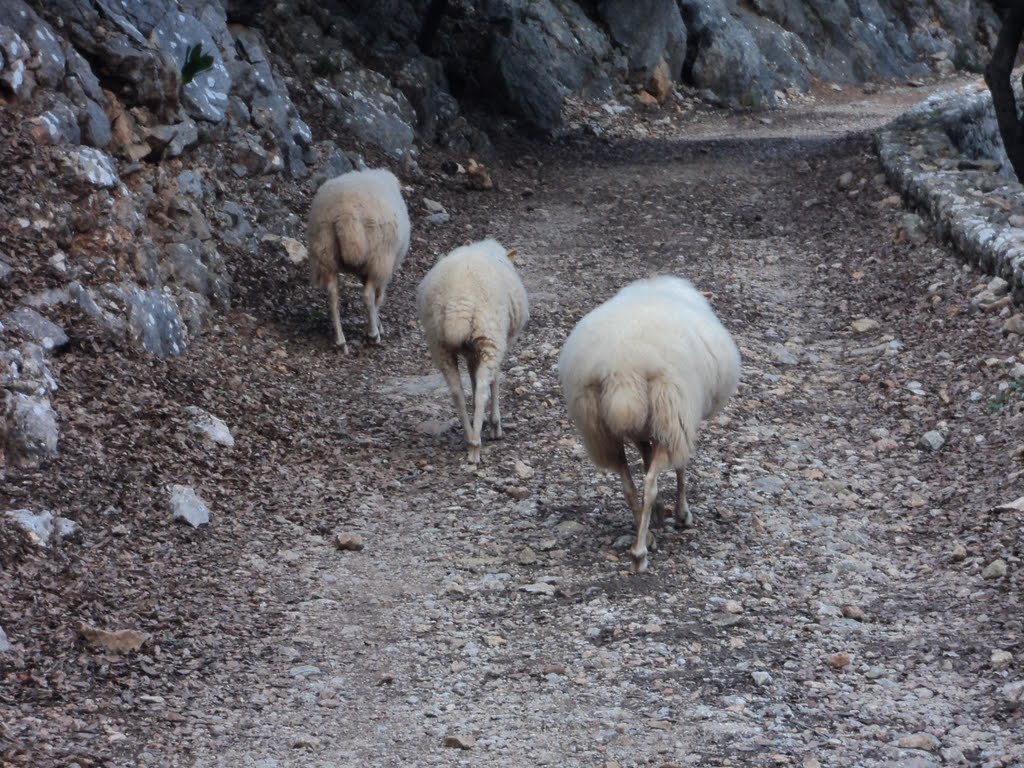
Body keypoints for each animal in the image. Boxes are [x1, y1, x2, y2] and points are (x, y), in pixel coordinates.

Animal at [305, 167, 409, 352]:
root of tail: (345, 213)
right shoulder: (383, 269)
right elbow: (379, 297)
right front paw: (376, 326)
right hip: (379, 258)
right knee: (367, 295)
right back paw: (373, 334)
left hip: (324, 253)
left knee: (333, 296)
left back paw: (341, 341)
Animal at [415, 237, 528, 462]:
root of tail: (459, 303)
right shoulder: (498, 343)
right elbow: (493, 381)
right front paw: (493, 425)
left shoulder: (470, 353)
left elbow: (472, 378)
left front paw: (480, 417)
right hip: (490, 335)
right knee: (484, 387)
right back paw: (476, 445)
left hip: (439, 344)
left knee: (457, 392)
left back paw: (469, 436)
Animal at [557, 274, 741, 573]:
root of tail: (621, 370)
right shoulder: (680, 419)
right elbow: (679, 467)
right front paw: (681, 514)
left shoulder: (642, 431)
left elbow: (645, 457)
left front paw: (657, 513)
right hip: (672, 411)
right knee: (650, 482)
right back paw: (640, 552)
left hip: (599, 427)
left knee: (627, 483)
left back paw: (646, 533)